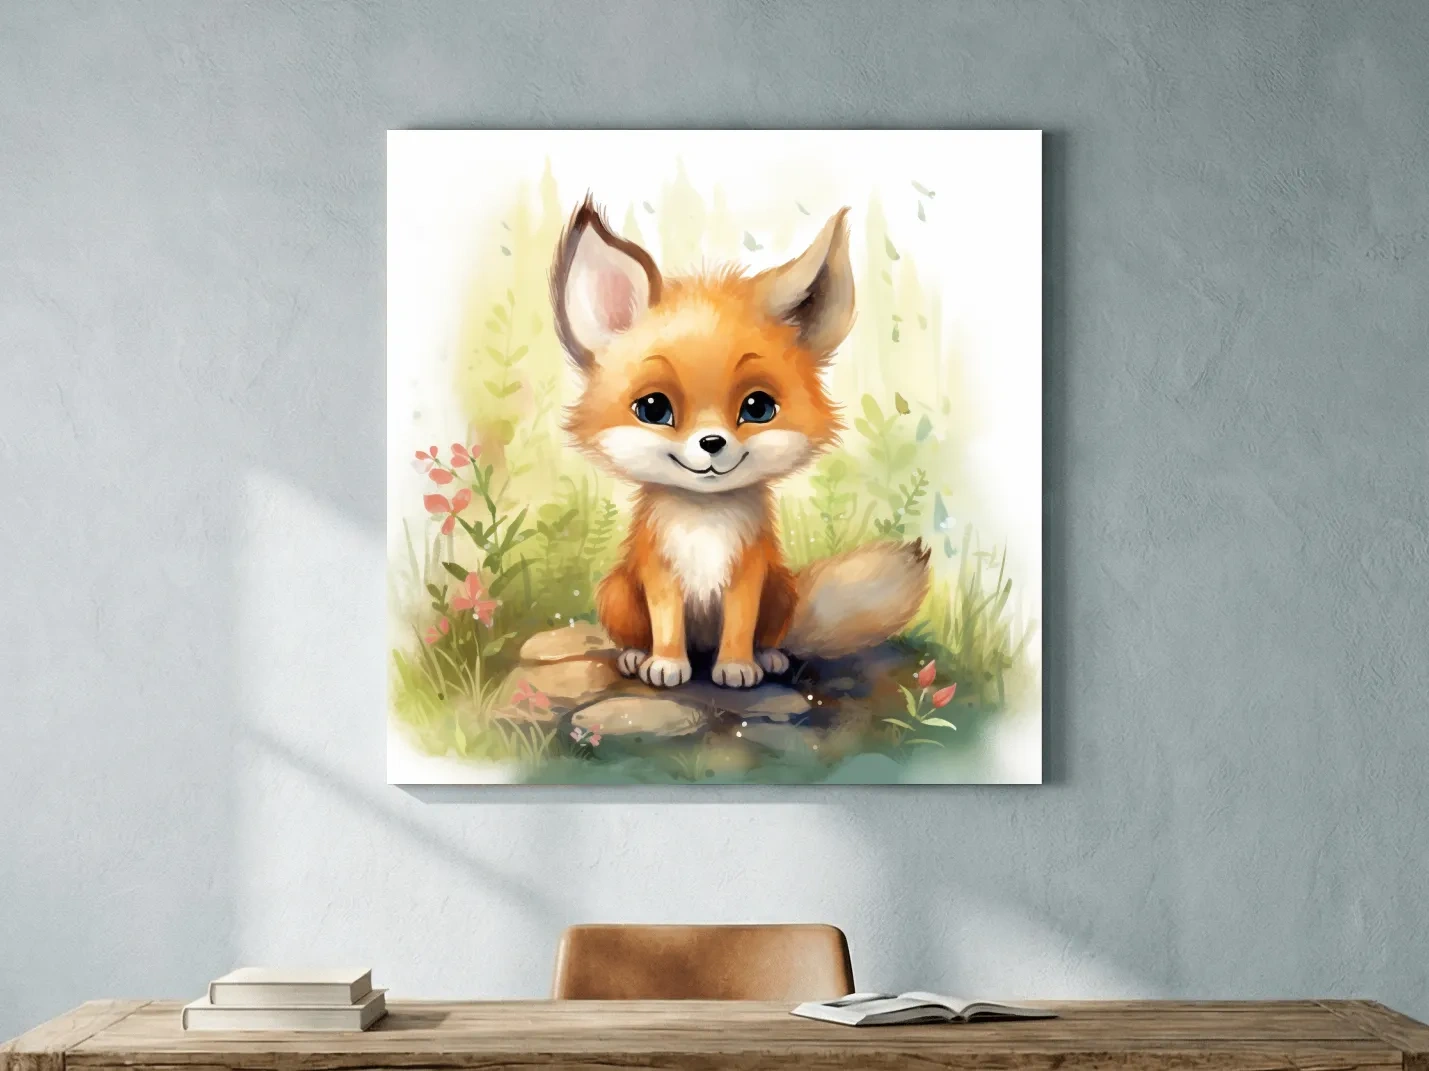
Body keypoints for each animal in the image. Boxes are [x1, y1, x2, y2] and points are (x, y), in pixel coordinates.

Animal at [550, 196, 931, 689]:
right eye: (653, 409)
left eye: (758, 407)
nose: (712, 442)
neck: (705, 521)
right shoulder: (660, 573)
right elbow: (667, 624)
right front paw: (667, 664)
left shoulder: (749, 574)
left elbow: (739, 624)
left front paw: (736, 665)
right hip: (616, 591)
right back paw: (636, 656)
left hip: (781, 590)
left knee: (772, 635)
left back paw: (768, 657)